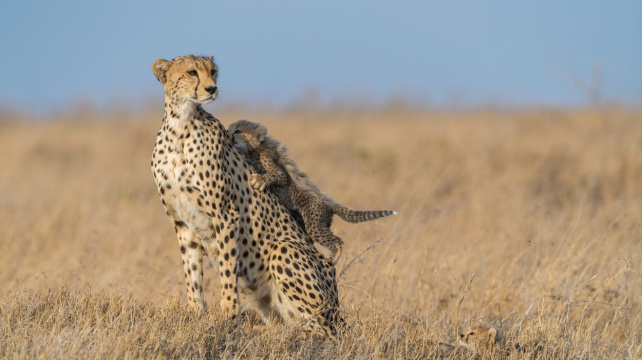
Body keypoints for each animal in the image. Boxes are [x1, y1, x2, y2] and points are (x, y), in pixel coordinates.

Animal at [151, 54, 342, 338]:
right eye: (191, 72)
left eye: (213, 71)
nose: (212, 89)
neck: (180, 126)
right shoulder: (182, 222)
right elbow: (192, 275)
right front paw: (195, 315)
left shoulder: (225, 215)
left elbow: (228, 273)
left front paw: (229, 319)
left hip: (285, 252)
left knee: (322, 331)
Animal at [225, 119, 396, 262]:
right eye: (229, 129)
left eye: (238, 131)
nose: (227, 133)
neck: (254, 149)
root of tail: (329, 203)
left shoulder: (275, 167)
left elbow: (279, 175)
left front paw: (260, 180)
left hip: (315, 223)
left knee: (338, 241)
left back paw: (333, 258)